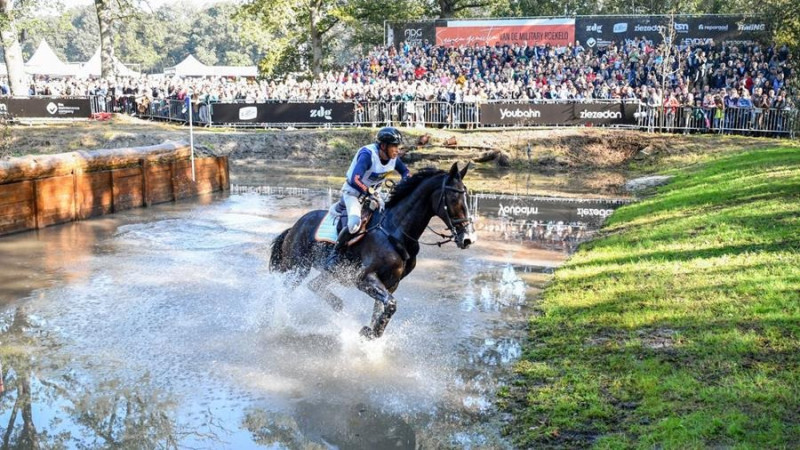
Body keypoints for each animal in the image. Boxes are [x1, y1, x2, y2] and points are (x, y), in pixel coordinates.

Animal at [272, 163, 478, 340]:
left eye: (467, 197)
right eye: (453, 198)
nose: (468, 238)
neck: (396, 231)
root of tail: (295, 225)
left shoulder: (390, 284)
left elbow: (382, 310)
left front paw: (370, 334)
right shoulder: (364, 278)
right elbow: (391, 305)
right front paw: (368, 333)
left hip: (332, 273)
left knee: (315, 286)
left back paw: (338, 308)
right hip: (298, 267)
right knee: (286, 291)